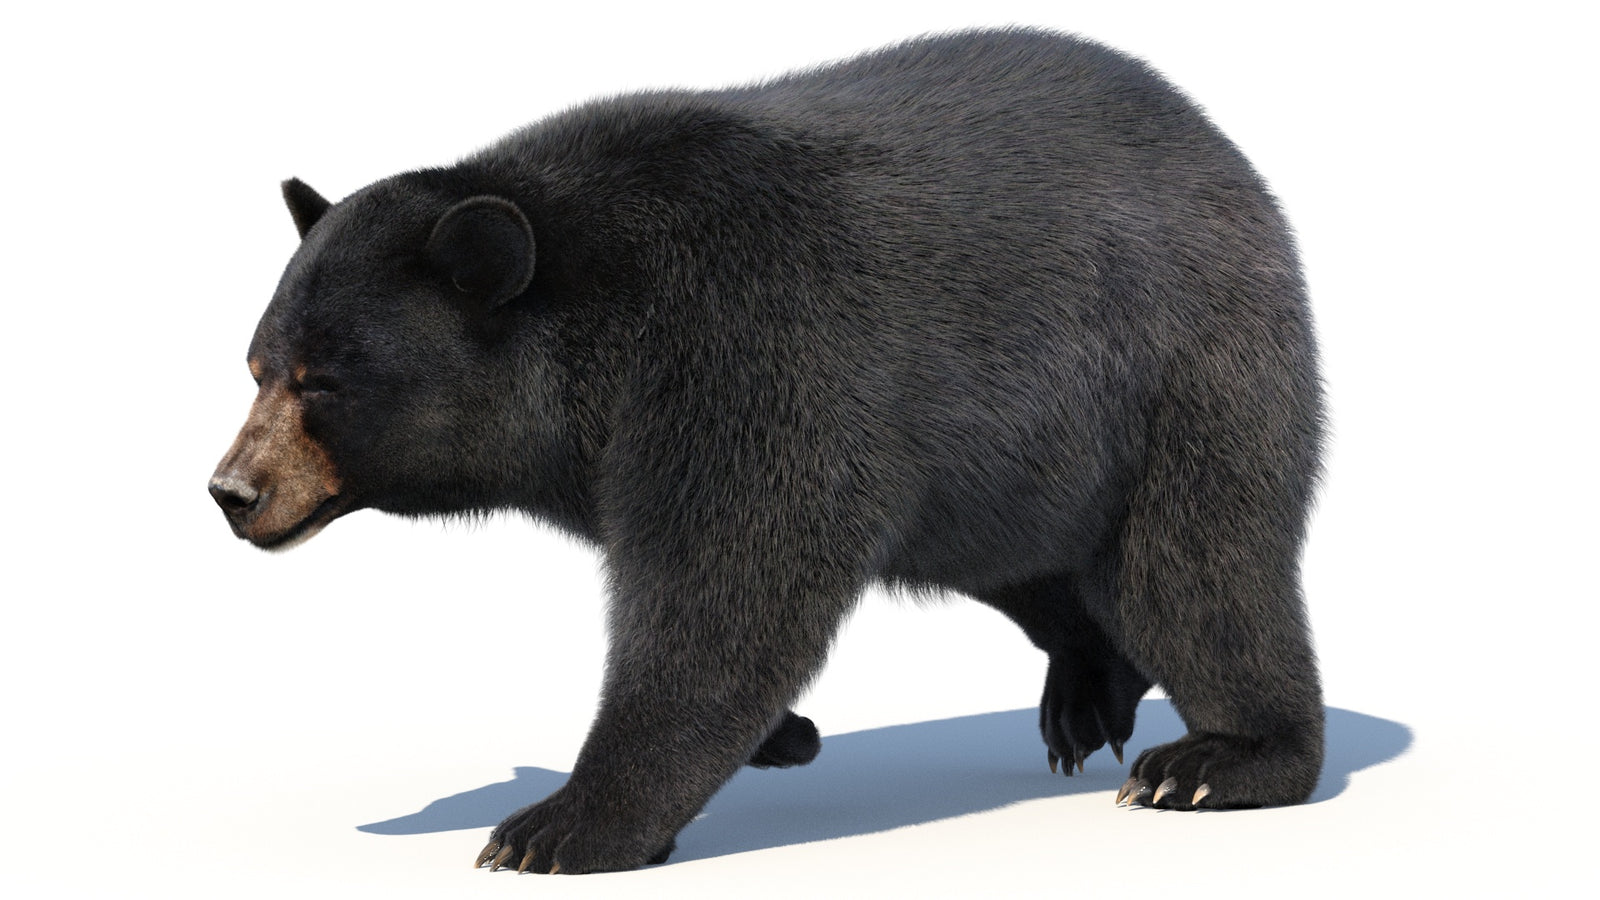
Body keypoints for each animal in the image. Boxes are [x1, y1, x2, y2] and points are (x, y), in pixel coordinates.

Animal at [209, 28, 1325, 875]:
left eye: (322, 382)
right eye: (256, 365)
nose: (232, 491)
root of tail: (1229, 158)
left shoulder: (748, 349)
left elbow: (729, 583)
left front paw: (561, 825)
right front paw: (779, 736)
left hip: (1179, 376)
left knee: (1198, 569)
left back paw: (1221, 759)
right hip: (1008, 468)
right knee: (1039, 569)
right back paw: (1088, 691)